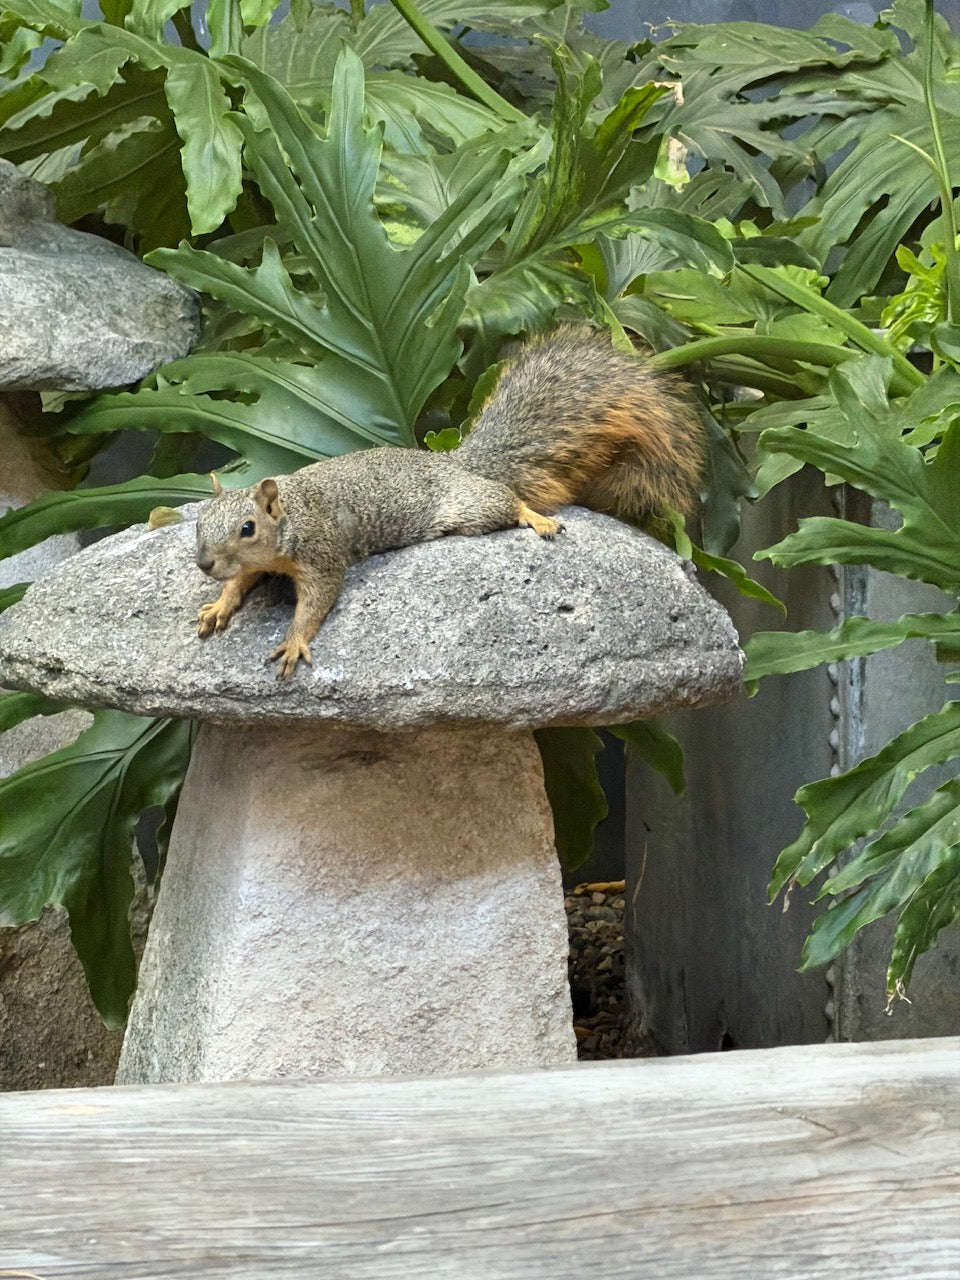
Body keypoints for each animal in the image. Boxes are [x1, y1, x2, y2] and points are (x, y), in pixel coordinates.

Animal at [195, 326, 704, 677]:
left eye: (247, 528)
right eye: (198, 524)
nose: (203, 564)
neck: (293, 515)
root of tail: (459, 464)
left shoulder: (321, 552)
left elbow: (317, 599)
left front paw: (294, 640)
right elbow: (240, 582)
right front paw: (219, 604)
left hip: (470, 507)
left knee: (506, 500)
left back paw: (537, 519)